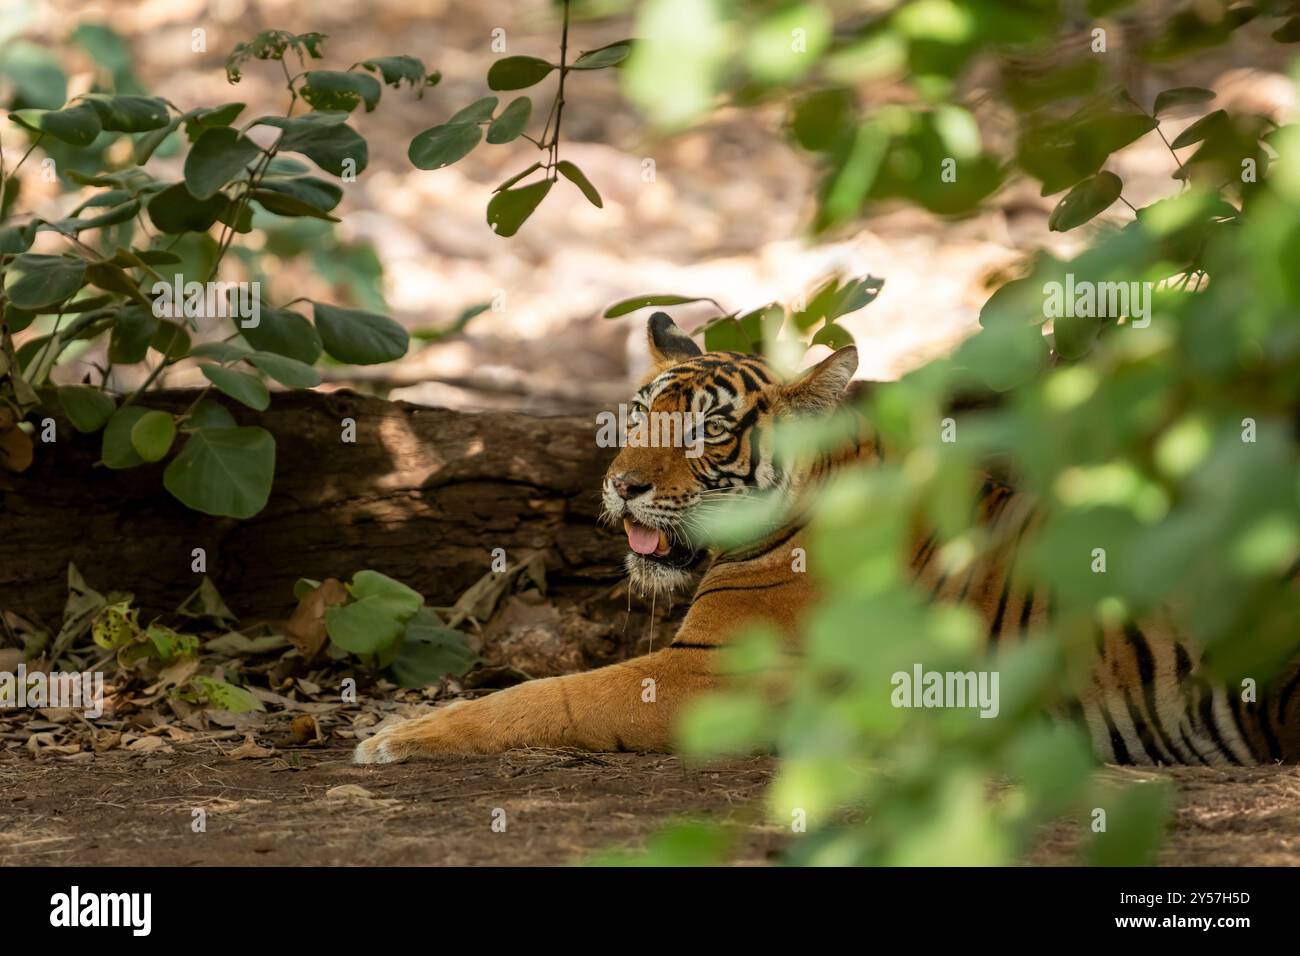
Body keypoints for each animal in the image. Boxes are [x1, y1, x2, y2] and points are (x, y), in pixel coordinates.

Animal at [351, 314, 1294, 770]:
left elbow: (552, 699)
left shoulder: (708, 675)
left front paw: (394, 735)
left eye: (706, 431)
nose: (624, 486)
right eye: (640, 411)